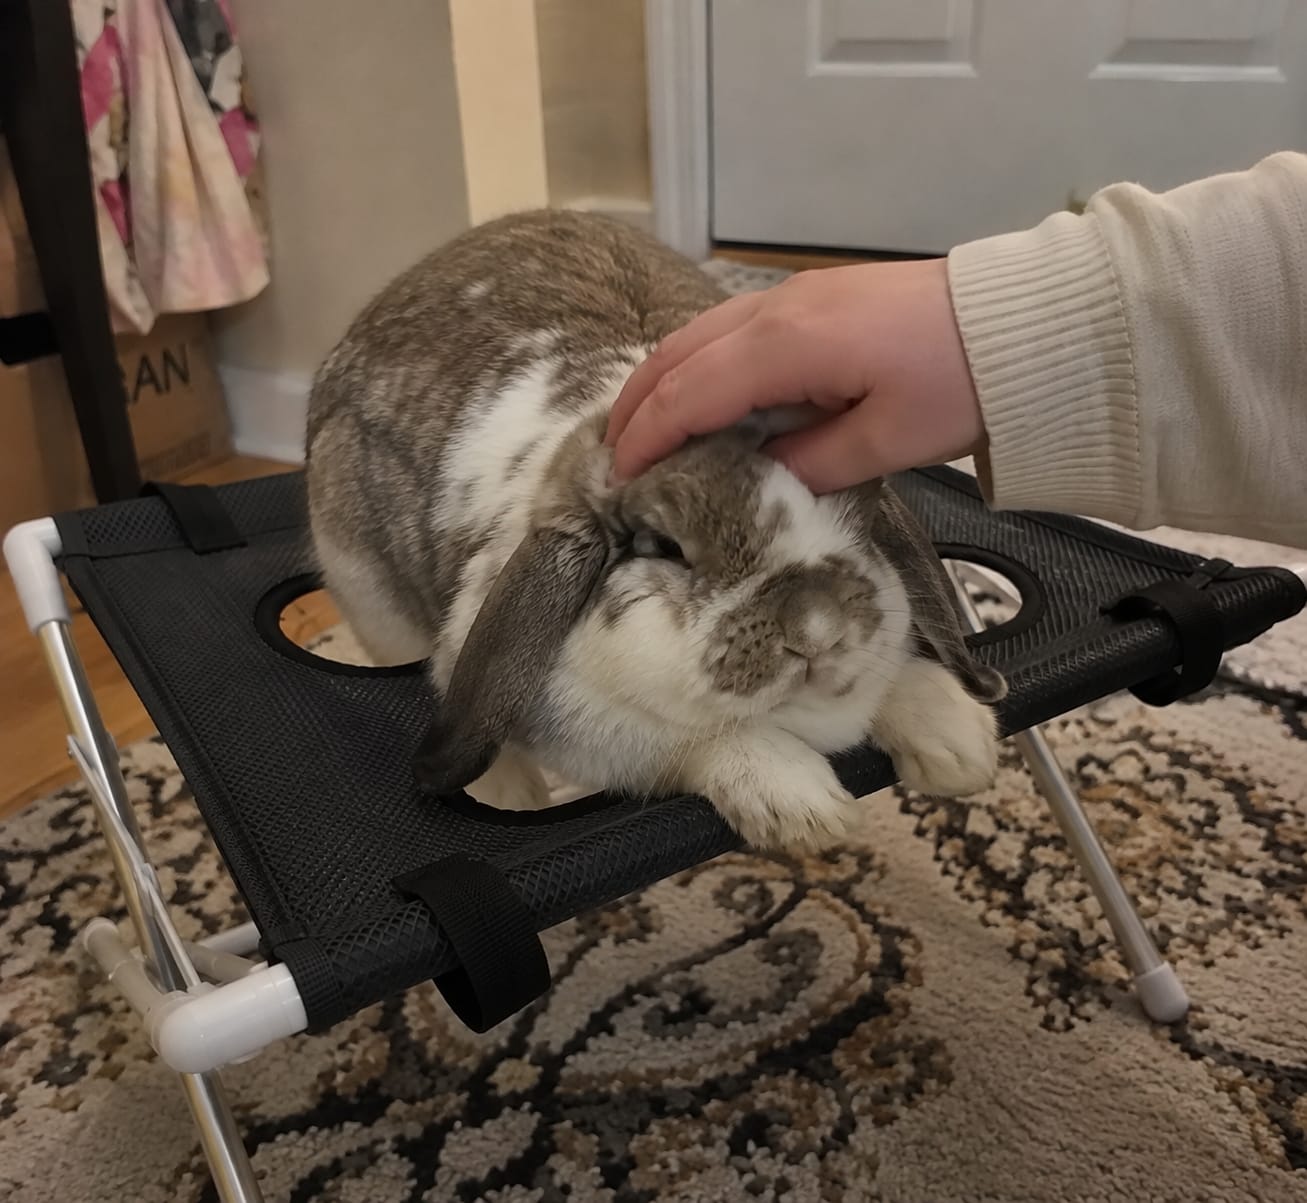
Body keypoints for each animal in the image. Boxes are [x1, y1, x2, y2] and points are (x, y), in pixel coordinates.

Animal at [305, 209, 1006, 853]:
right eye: (666, 547)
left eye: (863, 522)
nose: (817, 630)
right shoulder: (586, 726)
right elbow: (686, 743)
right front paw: (804, 810)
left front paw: (962, 744)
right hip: (376, 608)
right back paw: (512, 791)